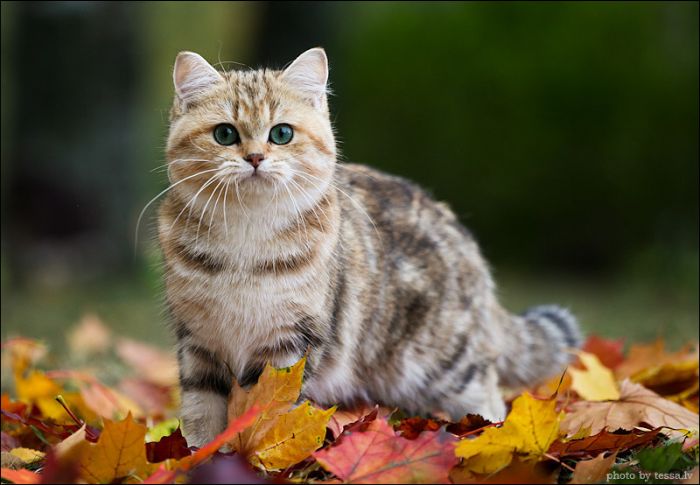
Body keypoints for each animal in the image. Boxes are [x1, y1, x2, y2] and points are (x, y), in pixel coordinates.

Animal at [159, 47, 580, 444]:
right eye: (225, 134)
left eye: (281, 134)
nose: (255, 157)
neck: (245, 241)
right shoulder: (197, 340)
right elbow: (202, 411)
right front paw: (199, 456)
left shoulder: (291, 345)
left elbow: (268, 412)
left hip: (442, 362)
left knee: (487, 393)